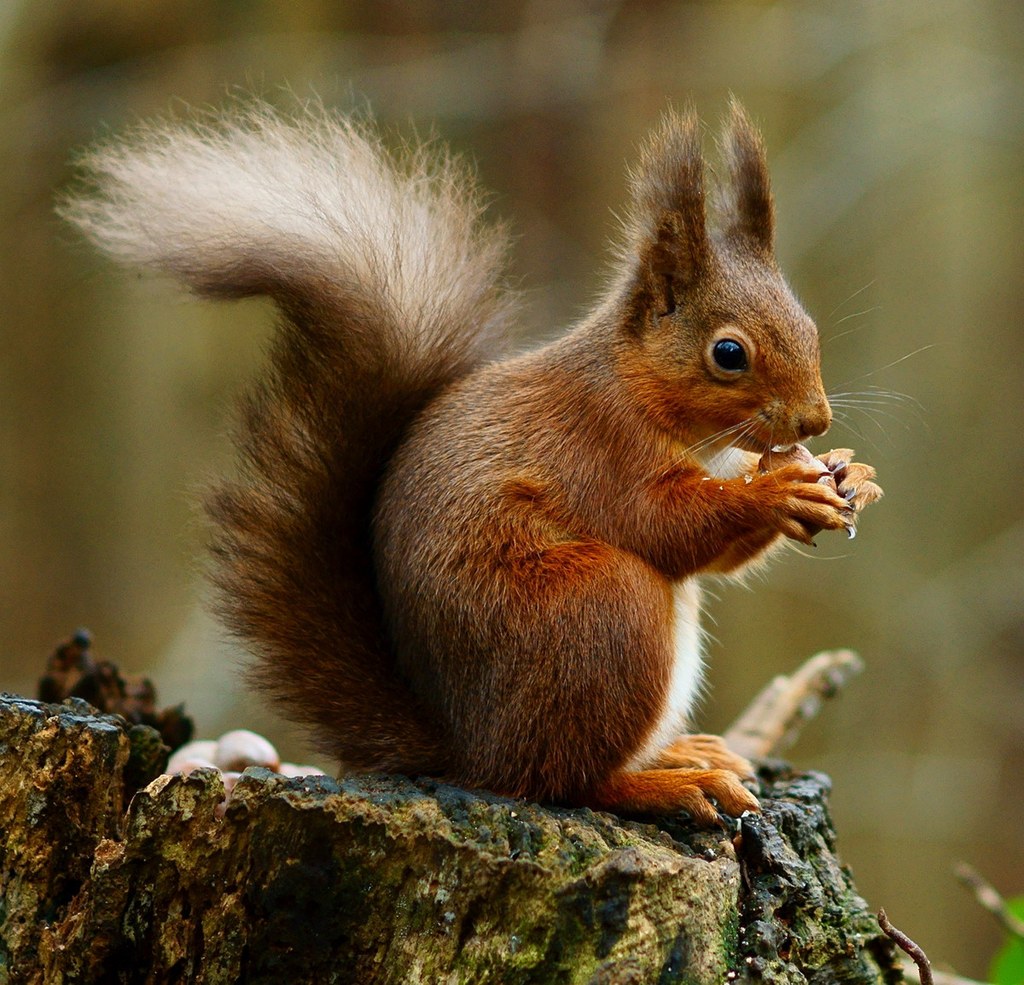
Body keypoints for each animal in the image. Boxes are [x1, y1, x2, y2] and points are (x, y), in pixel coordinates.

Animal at [61, 98, 881, 826]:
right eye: (728, 354)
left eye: (808, 324)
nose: (815, 419)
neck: (641, 393)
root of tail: (469, 749)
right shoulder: (596, 447)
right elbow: (664, 525)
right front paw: (779, 490)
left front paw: (850, 475)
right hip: (598, 611)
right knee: (561, 780)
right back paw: (664, 784)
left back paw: (682, 753)